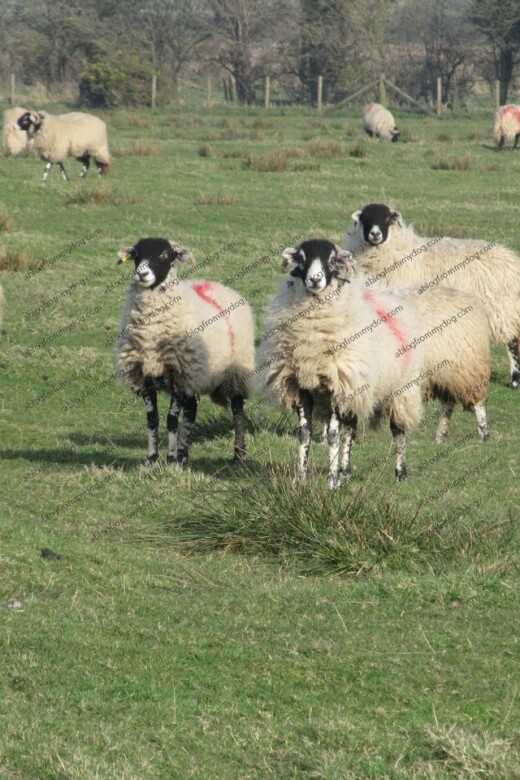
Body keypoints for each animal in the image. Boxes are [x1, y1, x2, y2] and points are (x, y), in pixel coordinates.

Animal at [116, 237, 255, 466]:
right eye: (136, 254)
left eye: (164, 255)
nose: (142, 274)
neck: (151, 331)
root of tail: (215, 285)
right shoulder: (146, 377)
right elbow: (152, 420)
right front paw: (152, 460)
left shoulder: (179, 375)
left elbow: (172, 419)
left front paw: (170, 459)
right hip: (195, 377)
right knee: (191, 411)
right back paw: (183, 454)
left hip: (234, 374)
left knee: (237, 411)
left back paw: (239, 455)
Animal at [258, 238, 423, 488]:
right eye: (302, 258)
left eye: (332, 260)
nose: (315, 280)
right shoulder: (303, 386)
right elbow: (304, 433)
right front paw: (300, 481)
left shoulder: (338, 384)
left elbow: (333, 435)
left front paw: (332, 483)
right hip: (357, 386)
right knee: (350, 430)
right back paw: (346, 471)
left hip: (399, 389)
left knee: (398, 429)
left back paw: (399, 473)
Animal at [345, 202, 520, 389]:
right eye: (365, 218)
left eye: (388, 219)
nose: (375, 234)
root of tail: (512, 258)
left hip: (504, 311)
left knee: (513, 342)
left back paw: (515, 381)